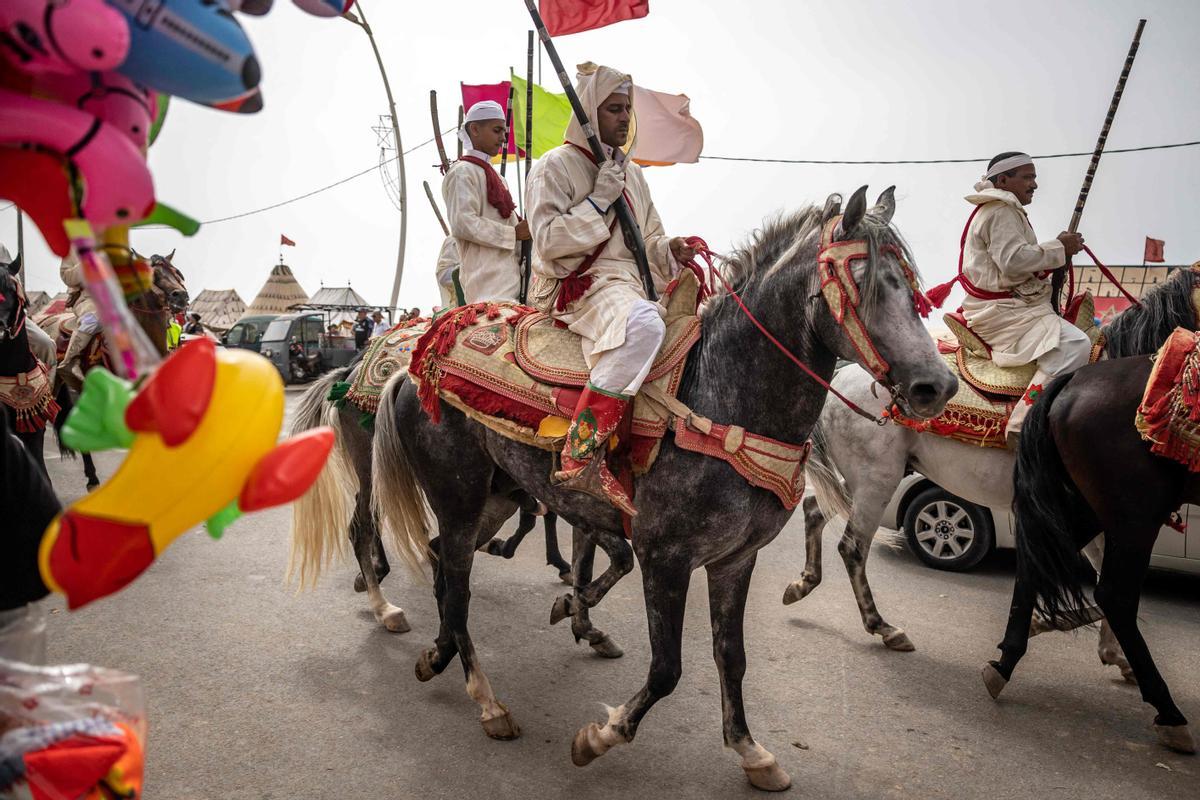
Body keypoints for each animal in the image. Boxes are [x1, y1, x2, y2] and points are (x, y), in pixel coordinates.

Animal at [364, 189, 955, 796]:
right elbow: (667, 668)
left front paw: (750, 751)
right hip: (457, 496)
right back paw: (486, 700)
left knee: (444, 565)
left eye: (911, 287)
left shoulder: (734, 560)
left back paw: (437, 656)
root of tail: (412, 368)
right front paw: (600, 736)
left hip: (498, 495)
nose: (937, 386)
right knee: (457, 588)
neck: (722, 397)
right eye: (863, 282)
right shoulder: (664, 557)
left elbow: (731, 657)